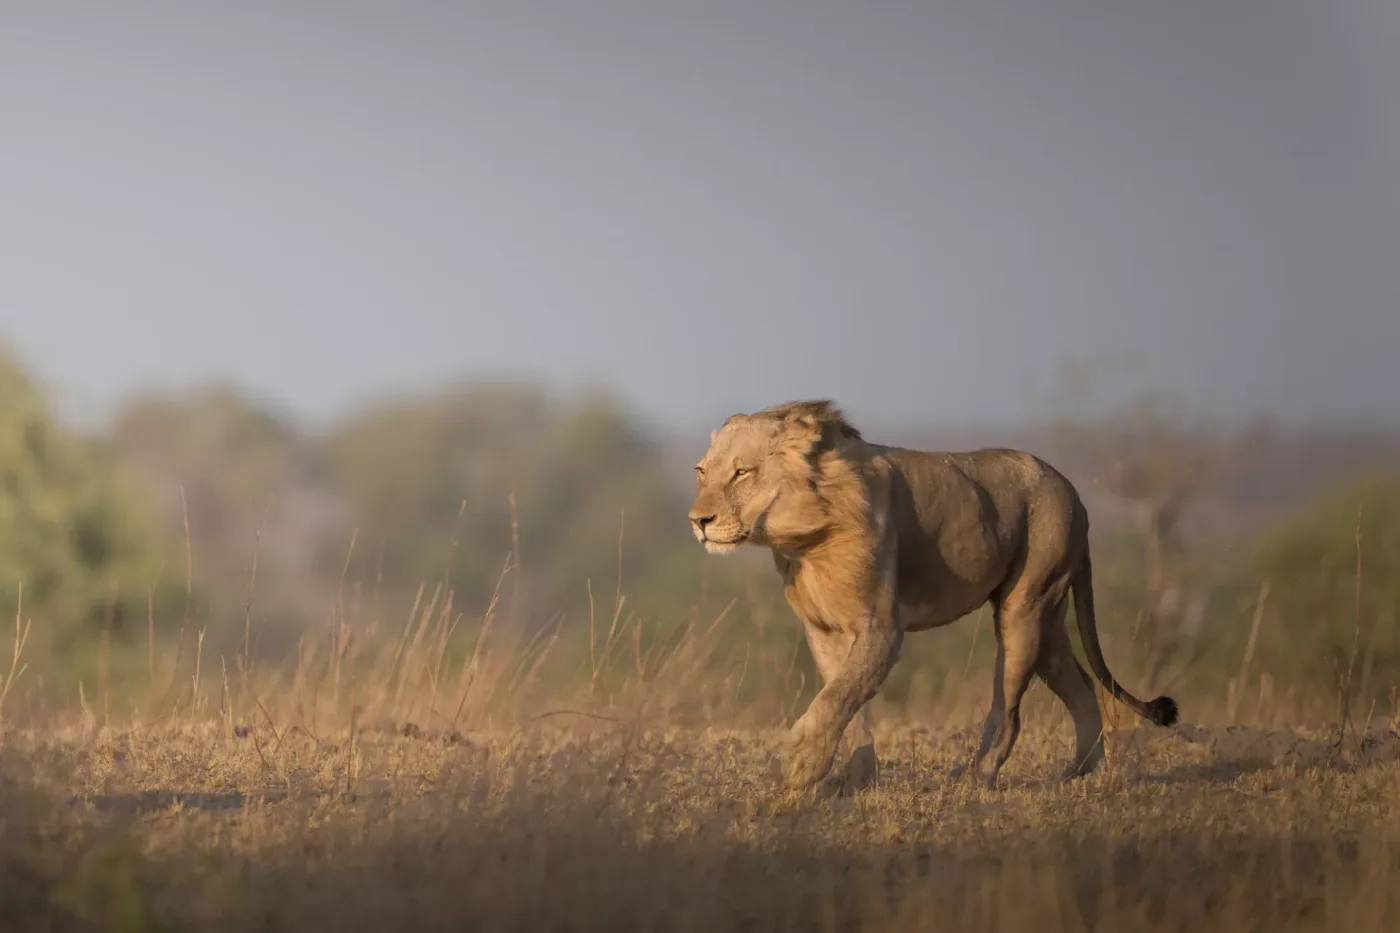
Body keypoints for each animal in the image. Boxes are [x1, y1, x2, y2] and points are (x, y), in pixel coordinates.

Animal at [687, 399, 1178, 791]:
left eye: (742, 472)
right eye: (702, 472)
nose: (698, 521)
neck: (804, 541)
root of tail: (1075, 495)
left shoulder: (882, 629)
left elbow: (837, 697)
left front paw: (795, 765)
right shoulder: (824, 629)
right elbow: (845, 700)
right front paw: (855, 777)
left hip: (1024, 606)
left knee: (1009, 711)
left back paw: (977, 777)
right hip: (1049, 617)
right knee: (1081, 685)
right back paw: (1077, 772)